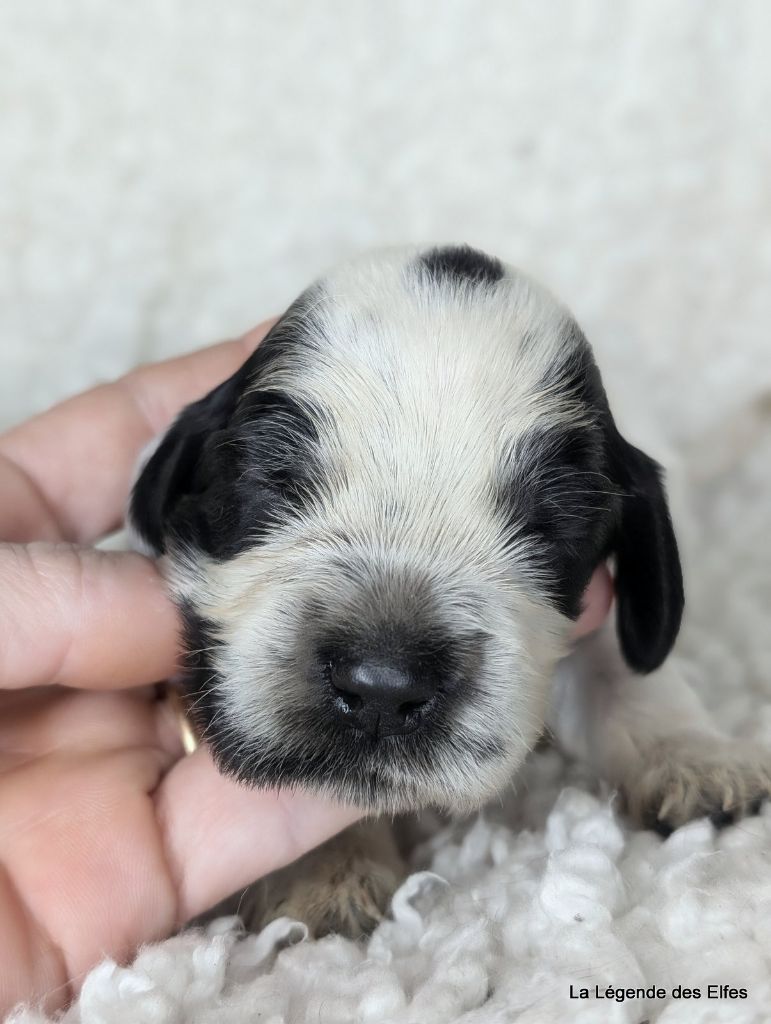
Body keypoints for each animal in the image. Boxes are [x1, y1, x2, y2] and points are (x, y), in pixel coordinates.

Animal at [129, 247, 765, 937]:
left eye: (550, 525)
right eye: (273, 480)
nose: (383, 687)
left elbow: (623, 666)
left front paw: (697, 758)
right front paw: (331, 871)